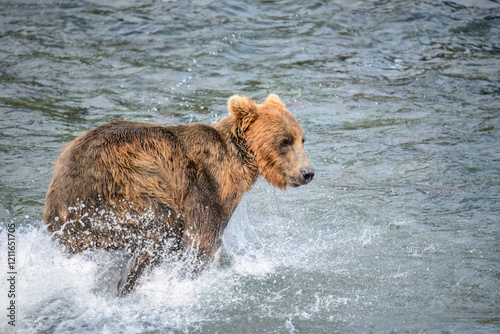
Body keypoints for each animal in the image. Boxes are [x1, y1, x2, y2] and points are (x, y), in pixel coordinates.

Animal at [44, 94, 316, 294]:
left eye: (302, 139)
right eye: (284, 140)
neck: (238, 161)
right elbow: (202, 237)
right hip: (109, 202)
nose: (308, 172)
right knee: (164, 224)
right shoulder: (204, 186)